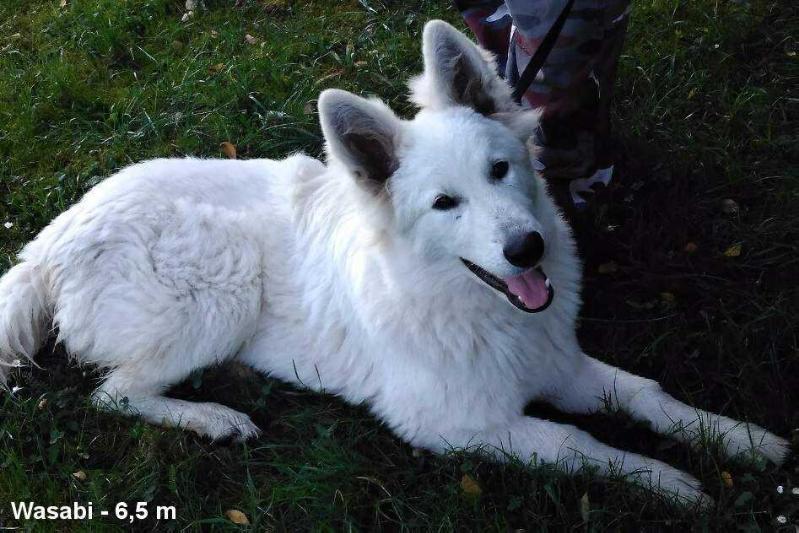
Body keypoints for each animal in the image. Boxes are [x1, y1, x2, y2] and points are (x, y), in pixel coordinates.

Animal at [0, 20, 788, 502]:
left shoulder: (558, 364)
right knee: (114, 394)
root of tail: (50, 239)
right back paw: (215, 416)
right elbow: (579, 442)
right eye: (444, 204)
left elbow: (650, 394)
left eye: (501, 169)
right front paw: (667, 481)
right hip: (225, 285)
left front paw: (740, 439)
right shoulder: (456, 424)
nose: (527, 248)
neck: (477, 308)